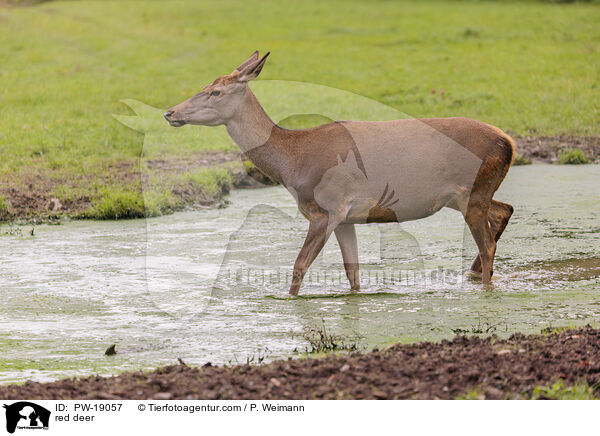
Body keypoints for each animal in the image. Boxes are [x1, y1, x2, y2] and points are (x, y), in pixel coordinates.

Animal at [165, 52, 516, 296]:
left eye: (216, 93)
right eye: (205, 86)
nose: (170, 112)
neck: (292, 162)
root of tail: (508, 141)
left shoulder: (326, 209)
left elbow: (299, 266)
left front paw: (289, 301)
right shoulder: (347, 217)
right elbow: (353, 273)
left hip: (473, 190)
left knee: (487, 245)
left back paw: (485, 288)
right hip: (467, 196)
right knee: (504, 210)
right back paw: (474, 275)